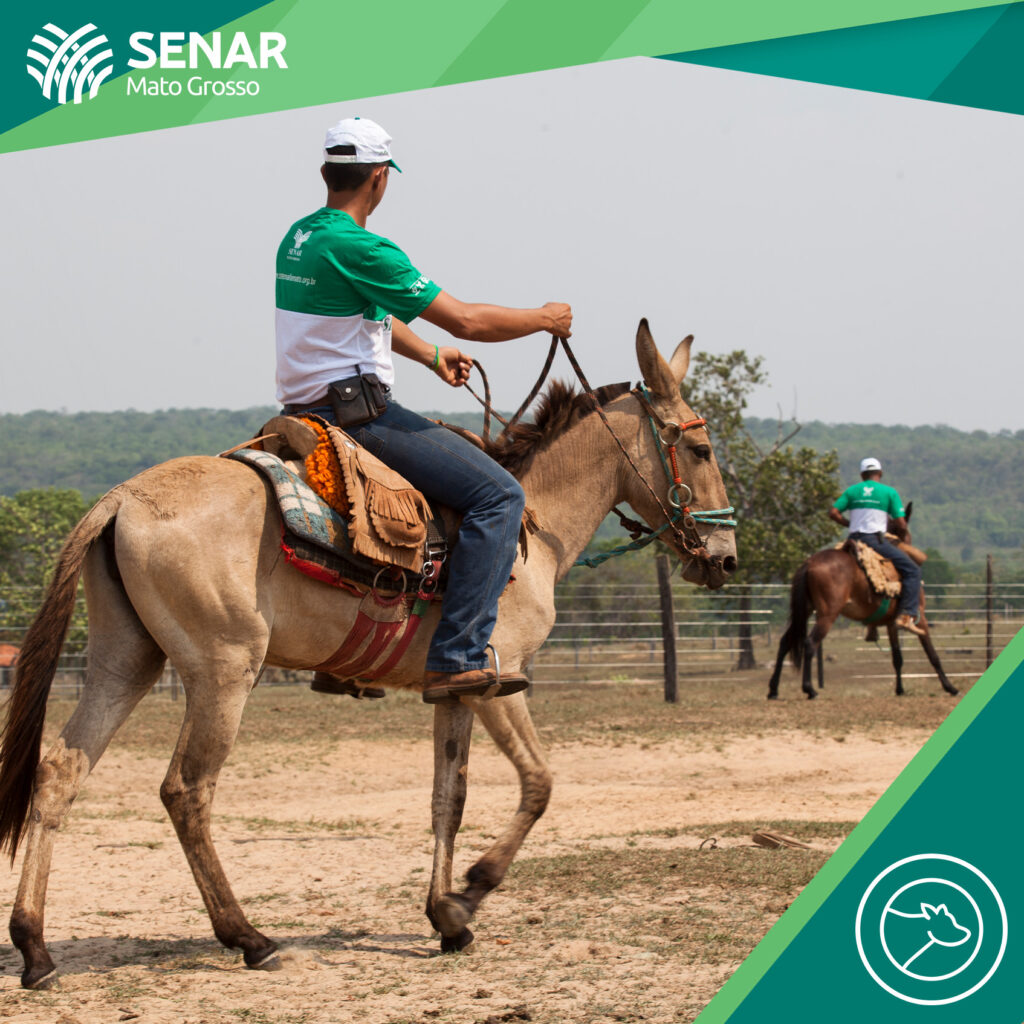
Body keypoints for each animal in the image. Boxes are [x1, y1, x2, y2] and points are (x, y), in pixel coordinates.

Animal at [0, 320, 737, 990]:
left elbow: (449, 797)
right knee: (186, 789)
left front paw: (445, 916)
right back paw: (248, 937)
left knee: (60, 772)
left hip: (126, 662)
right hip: (223, 673)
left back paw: (36, 949)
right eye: (700, 448)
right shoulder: (500, 680)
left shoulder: (455, 691)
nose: (726, 558)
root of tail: (120, 499)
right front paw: (470, 891)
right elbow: (538, 783)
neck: (534, 532)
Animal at [767, 509, 957, 699]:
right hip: (827, 614)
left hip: (806, 609)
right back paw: (809, 689)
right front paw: (950, 687)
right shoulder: (920, 617)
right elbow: (932, 655)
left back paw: (773, 690)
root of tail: (810, 563)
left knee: (785, 642)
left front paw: (900, 690)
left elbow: (897, 657)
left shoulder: (891, 623)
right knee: (810, 643)